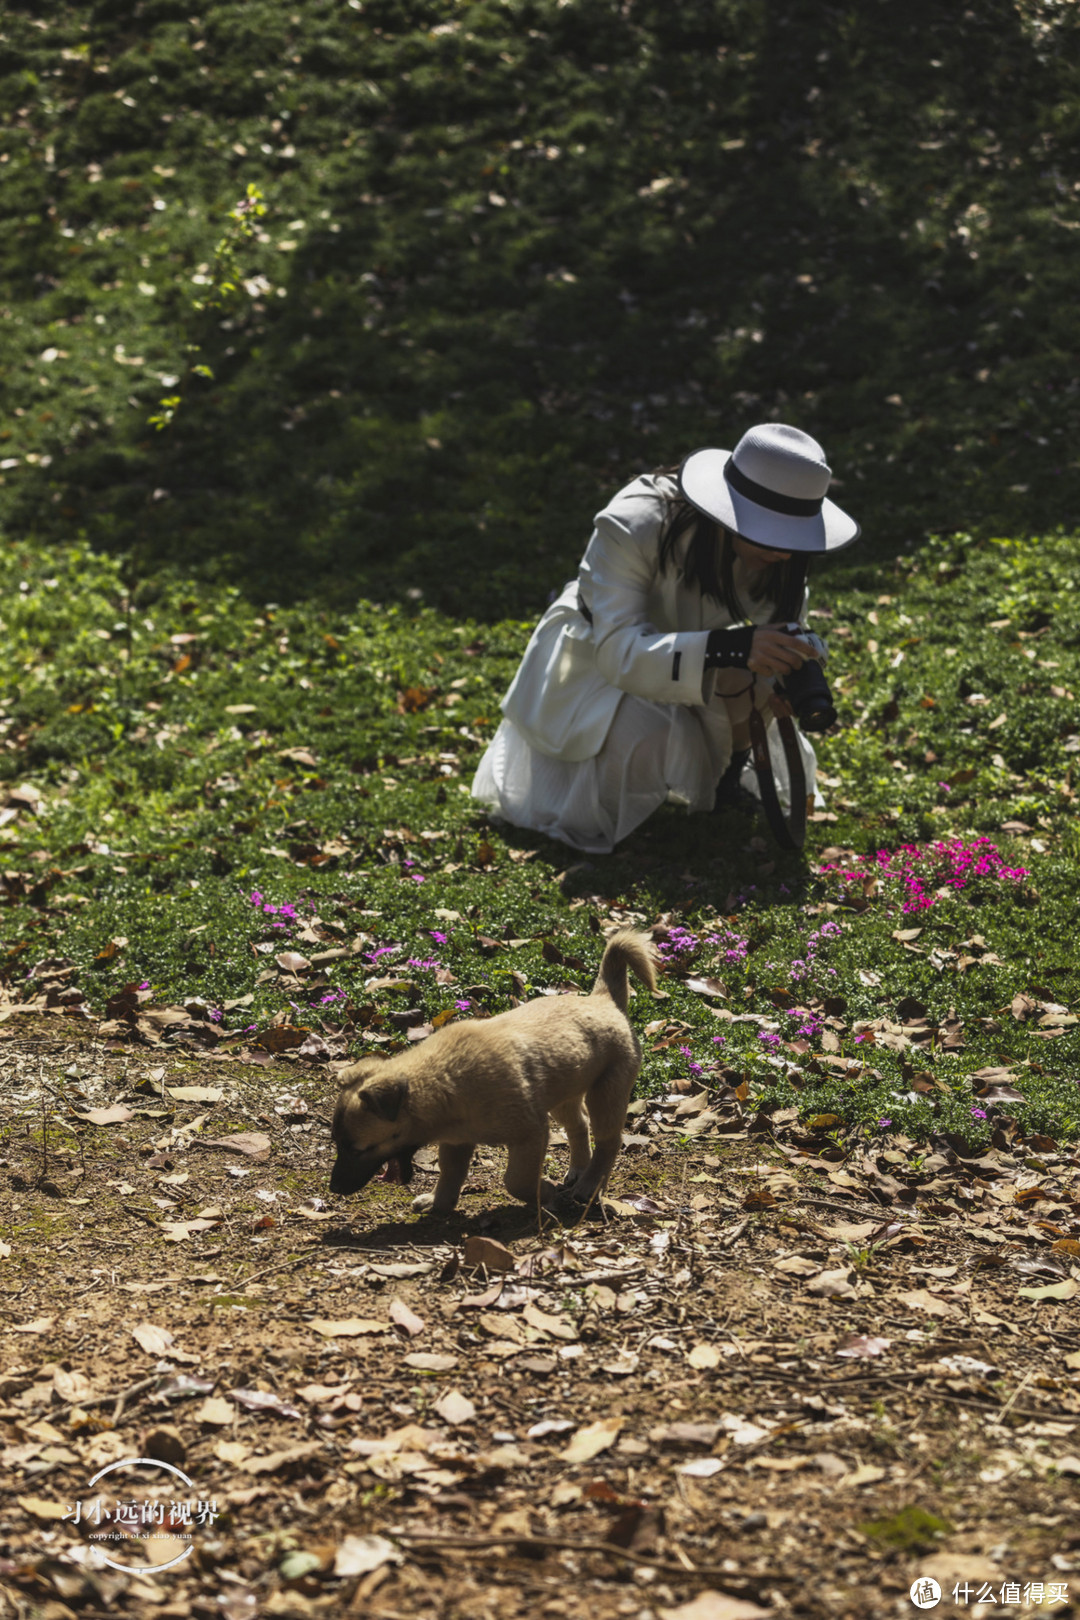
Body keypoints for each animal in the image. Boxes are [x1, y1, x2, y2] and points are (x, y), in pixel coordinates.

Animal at [330, 926, 654, 1218]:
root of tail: (604, 999)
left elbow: (516, 1182)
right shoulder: (456, 1141)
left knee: (608, 1141)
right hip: (564, 1092)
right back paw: (578, 1169)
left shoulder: (530, 1134)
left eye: (357, 1150)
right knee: (579, 1125)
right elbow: (450, 1175)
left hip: (607, 1092)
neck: (444, 1079)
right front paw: (438, 1202)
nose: (334, 1189)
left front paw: (545, 1193)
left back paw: (589, 1185)